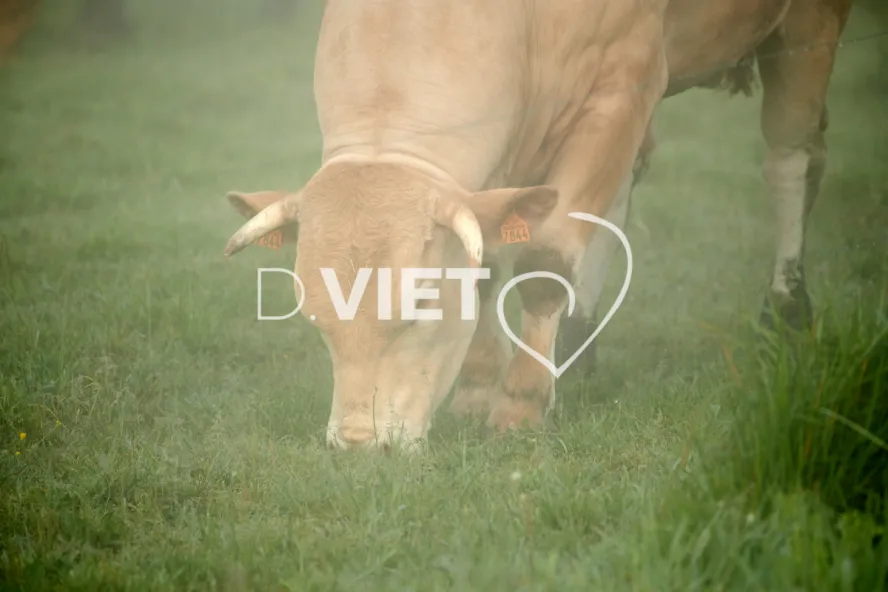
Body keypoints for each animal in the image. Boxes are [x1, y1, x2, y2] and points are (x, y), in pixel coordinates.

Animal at [223, 0, 854, 452]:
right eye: (316, 320)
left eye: (418, 309)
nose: (358, 444)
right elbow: (486, 265)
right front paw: (478, 388)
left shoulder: (620, 90)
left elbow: (545, 264)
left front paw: (521, 404)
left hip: (808, 30)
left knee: (791, 160)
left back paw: (787, 310)